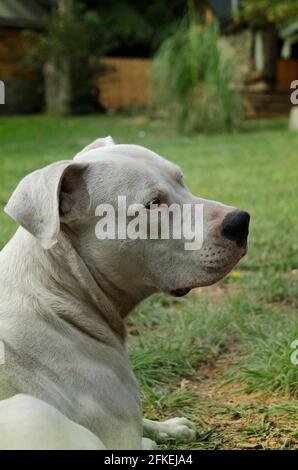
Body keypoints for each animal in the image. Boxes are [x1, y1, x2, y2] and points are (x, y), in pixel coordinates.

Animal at [0, 136, 248, 448]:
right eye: (153, 204)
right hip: (34, 411)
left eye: (181, 180)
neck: (57, 293)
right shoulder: (122, 436)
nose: (241, 221)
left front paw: (171, 428)